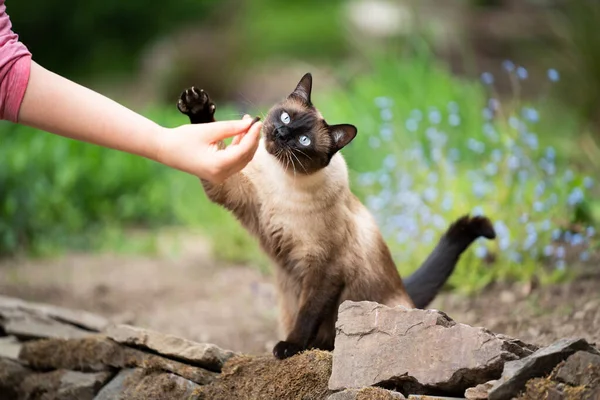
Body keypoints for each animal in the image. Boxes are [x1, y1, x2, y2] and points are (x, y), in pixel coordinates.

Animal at [176, 73, 494, 360]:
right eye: (286, 117)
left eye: (304, 140)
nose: (281, 133)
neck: (283, 179)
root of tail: (406, 292)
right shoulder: (230, 189)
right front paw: (196, 105)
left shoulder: (324, 268)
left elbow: (307, 315)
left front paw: (290, 347)